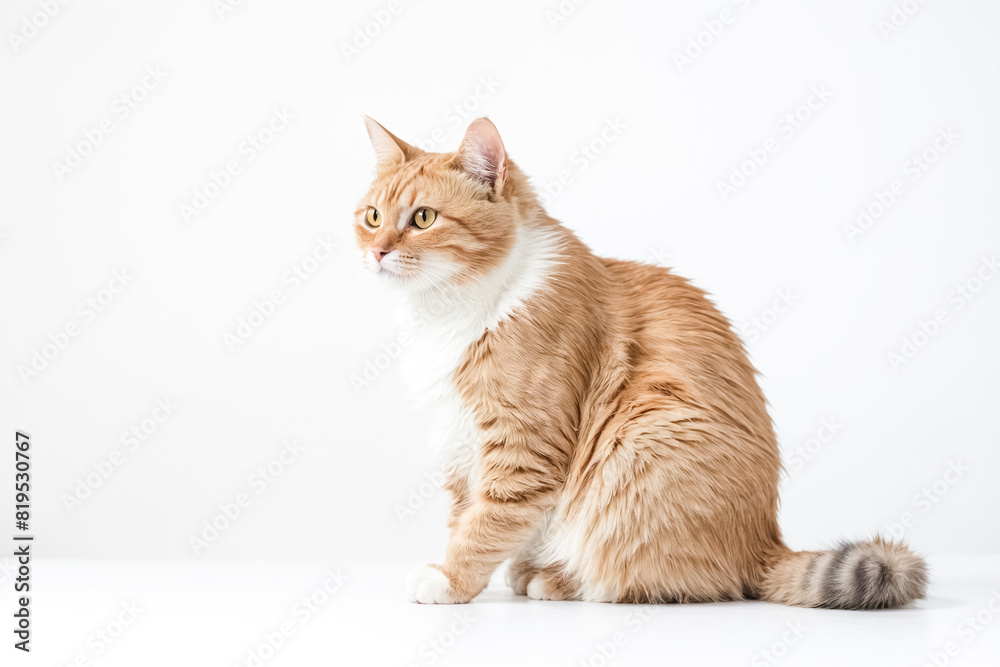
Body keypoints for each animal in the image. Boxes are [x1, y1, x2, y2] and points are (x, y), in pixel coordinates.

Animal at [354, 116, 928, 612]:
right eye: (373, 217)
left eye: (423, 218)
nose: (377, 252)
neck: (447, 312)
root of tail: (765, 542)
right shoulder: (459, 440)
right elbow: (464, 517)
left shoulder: (523, 447)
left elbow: (483, 525)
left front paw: (449, 580)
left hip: (640, 441)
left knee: (660, 580)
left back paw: (555, 578)